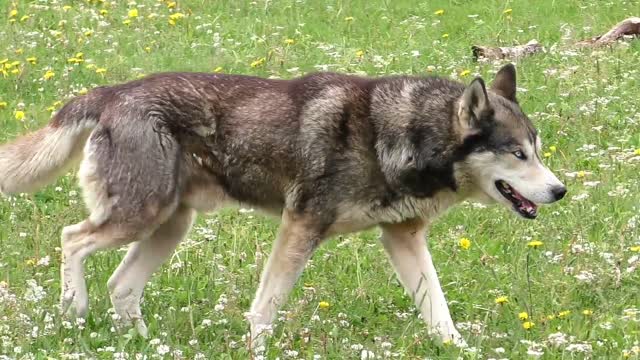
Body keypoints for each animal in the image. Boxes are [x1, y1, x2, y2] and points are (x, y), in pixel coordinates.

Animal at [0, 63, 564, 348]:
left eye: (537, 149)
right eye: (517, 154)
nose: (559, 191)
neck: (404, 135)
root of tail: (112, 92)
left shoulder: (402, 238)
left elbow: (439, 313)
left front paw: (457, 349)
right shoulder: (301, 227)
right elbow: (264, 310)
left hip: (169, 225)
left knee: (121, 285)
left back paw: (143, 344)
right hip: (139, 215)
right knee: (72, 240)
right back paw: (74, 306)